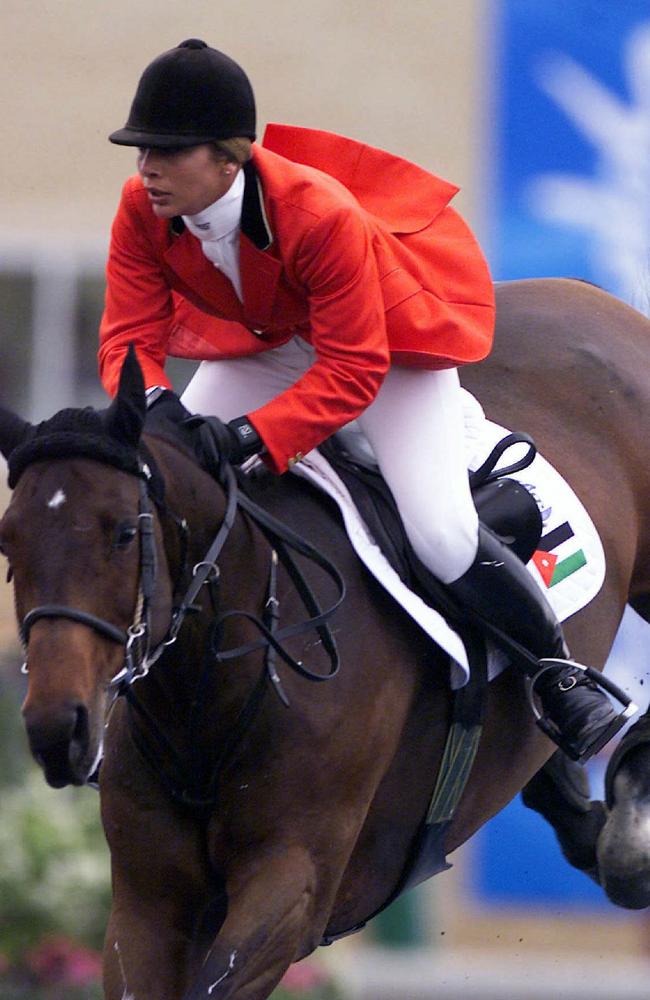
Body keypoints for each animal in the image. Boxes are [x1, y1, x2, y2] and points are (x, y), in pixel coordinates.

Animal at [0, 276, 644, 1000]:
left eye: (121, 533)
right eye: (9, 542)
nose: (58, 726)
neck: (208, 693)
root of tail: (585, 293)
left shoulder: (292, 882)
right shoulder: (147, 904)